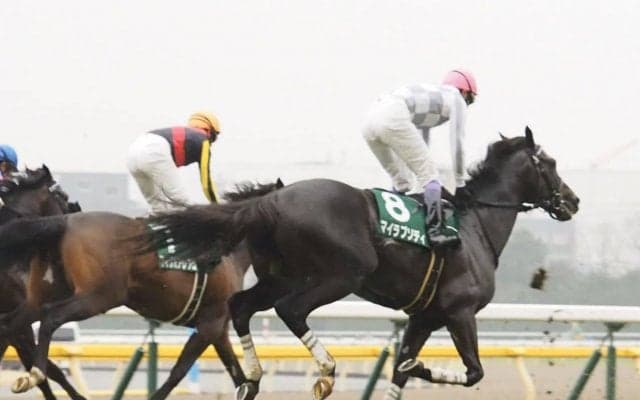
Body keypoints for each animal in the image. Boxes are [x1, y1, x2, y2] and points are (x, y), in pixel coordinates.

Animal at [137, 127, 580, 400]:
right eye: (551, 164)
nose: (573, 201)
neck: (475, 230)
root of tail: (270, 201)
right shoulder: (460, 311)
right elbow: (472, 372)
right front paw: (421, 367)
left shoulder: (424, 317)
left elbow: (401, 370)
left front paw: (410, 365)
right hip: (342, 274)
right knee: (290, 310)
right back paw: (325, 370)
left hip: (280, 276)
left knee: (241, 306)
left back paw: (253, 378)